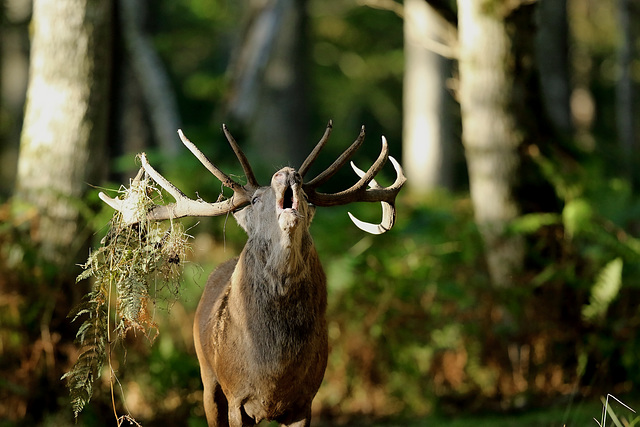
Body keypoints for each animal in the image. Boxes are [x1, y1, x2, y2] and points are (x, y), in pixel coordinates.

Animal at [99, 121, 404, 427]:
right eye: (256, 199)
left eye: (306, 196)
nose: (287, 173)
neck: (274, 372)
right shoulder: (237, 396)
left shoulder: (305, 400)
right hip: (207, 375)